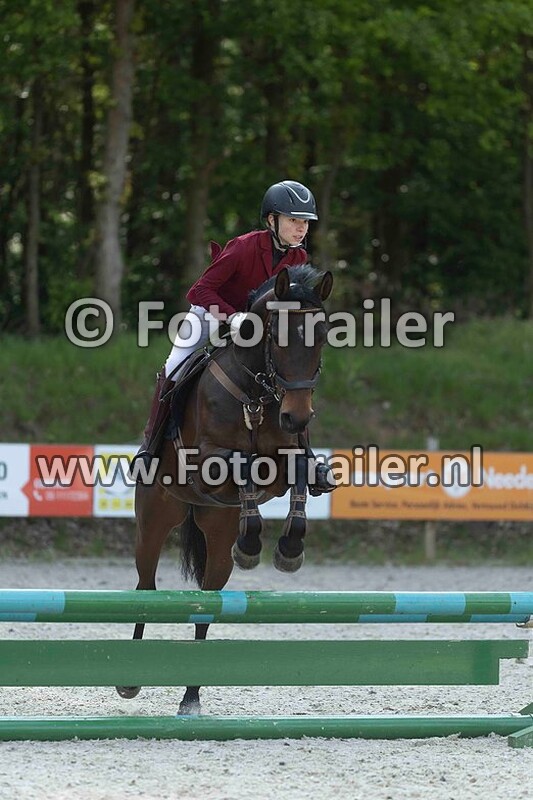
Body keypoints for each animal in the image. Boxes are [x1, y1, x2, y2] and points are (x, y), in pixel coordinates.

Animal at [117, 264, 333, 712]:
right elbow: (244, 462)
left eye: (322, 336)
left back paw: (191, 697)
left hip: (216, 536)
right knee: (146, 587)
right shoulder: (206, 464)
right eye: (276, 336)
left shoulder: (285, 460)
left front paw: (287, 549)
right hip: (152, 522)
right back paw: (130, 680)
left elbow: (298, 471)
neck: (257, 393)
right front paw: (253, 542)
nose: (297, 418)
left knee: (207, 600)